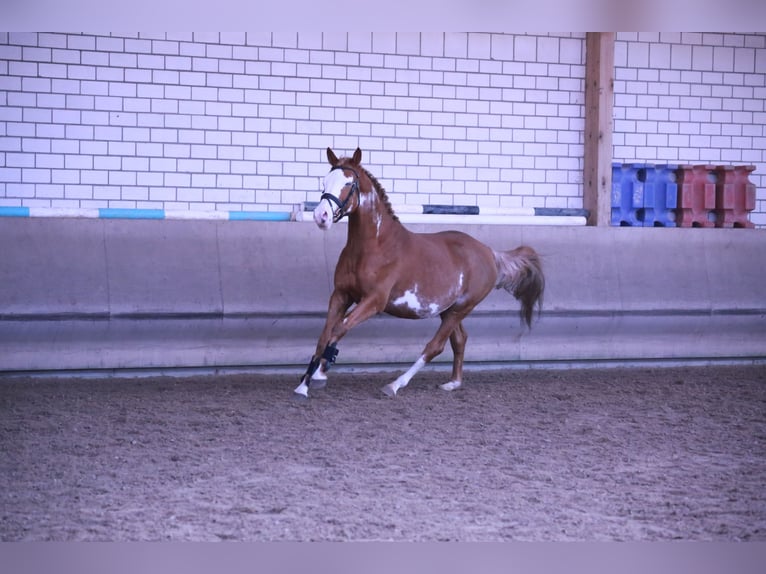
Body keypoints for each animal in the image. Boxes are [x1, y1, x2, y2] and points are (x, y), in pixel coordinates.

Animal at [294, 147, 545, 398]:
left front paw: (316, 378)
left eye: (348, 183)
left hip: (461, 309)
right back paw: (453, 383)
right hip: (448, 310)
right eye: (324, 182)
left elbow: (338, 329)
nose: (321, 216)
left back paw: (395, 385)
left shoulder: (373, 301)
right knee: (460, 340)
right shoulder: (341, 295)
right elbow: (325, 335)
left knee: (435, 346)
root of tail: (490, 253)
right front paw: (305, 384)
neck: (375, 246)